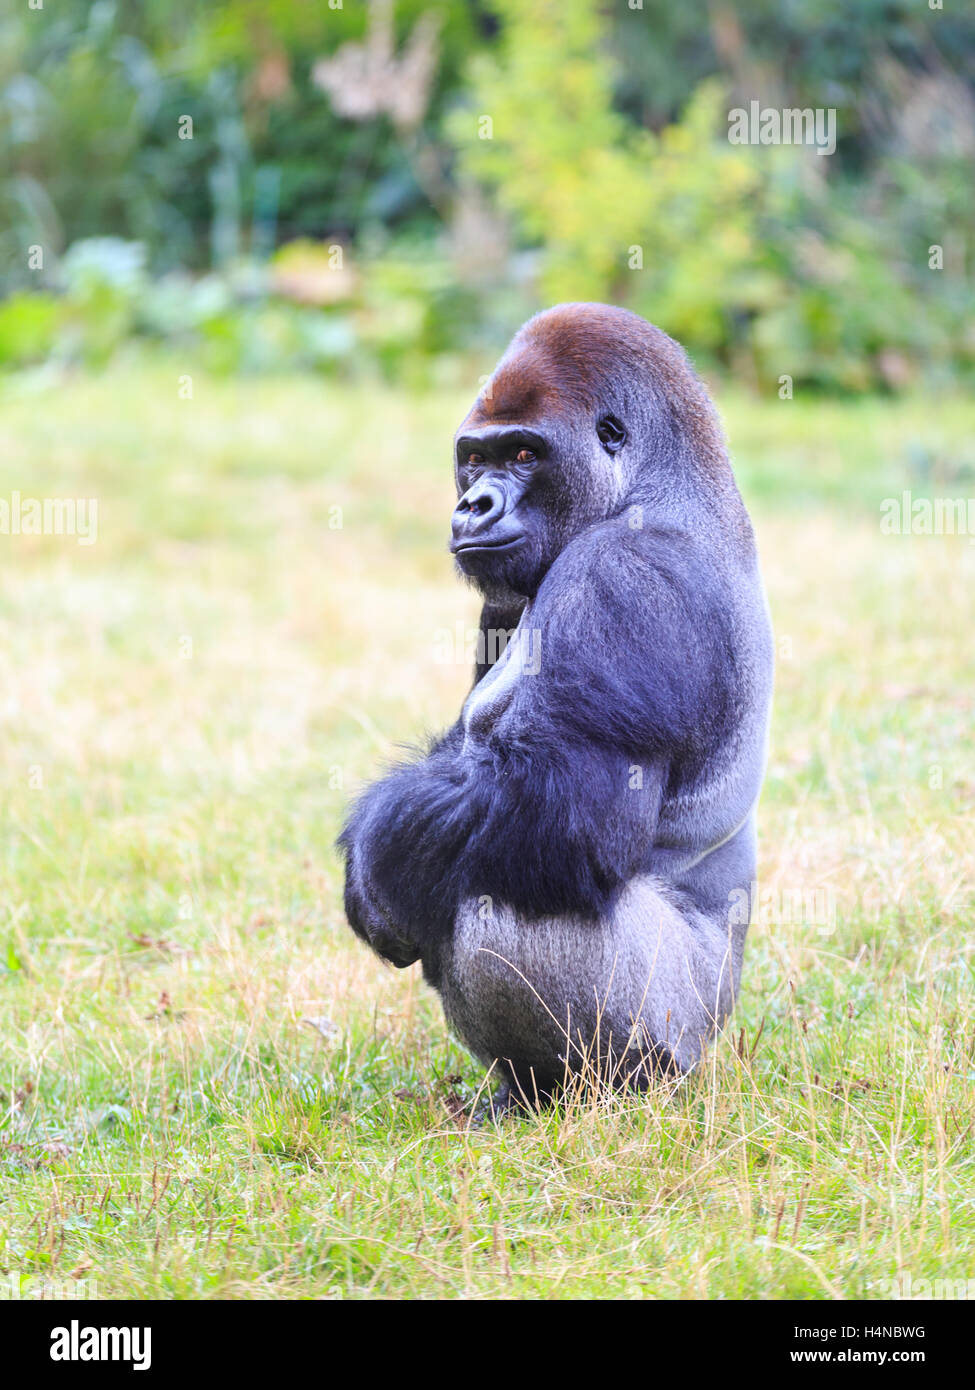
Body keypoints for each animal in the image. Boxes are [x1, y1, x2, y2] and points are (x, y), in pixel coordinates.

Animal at [337, 304, 773, 1117]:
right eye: (474, 459)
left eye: (523, 453)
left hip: (678, 1031)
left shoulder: (625, 580)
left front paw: (370, 862)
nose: (472, 504)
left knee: (497, 898)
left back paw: (595, 1094)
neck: (656, 488)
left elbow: (563, 814)